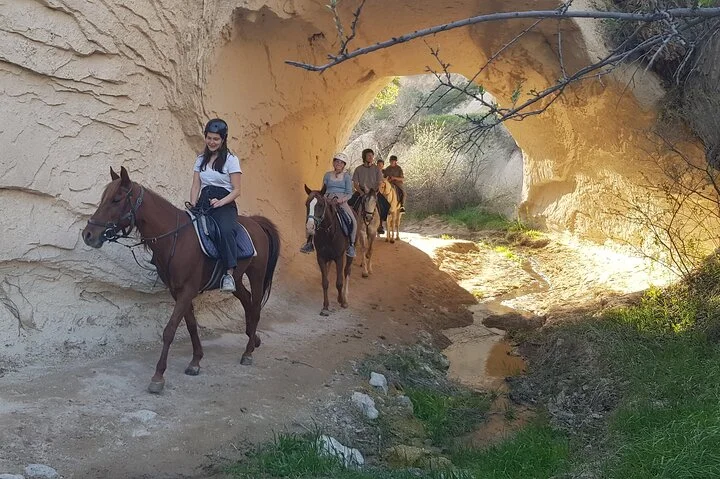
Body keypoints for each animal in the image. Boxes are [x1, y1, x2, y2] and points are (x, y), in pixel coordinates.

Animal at [82, 167, 280, 394]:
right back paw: (253, 339)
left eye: (116, 199)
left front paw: (158, 376)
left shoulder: (187, 290)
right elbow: (191, 325)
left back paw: (247, 353)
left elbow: (169, 330)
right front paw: (196, 361)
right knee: (247, 301)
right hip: (235, 279)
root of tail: (256, 222)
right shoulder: (178, 291)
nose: (88, 234)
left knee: (255, 307)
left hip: (256, 274)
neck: (176, 238)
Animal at [304, 184, 353, 316]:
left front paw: (341, 300)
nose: (310, 227)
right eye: (307, 204)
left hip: (349, 254)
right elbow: (325, 282)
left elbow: (339, 282)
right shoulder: (321, 257)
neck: (328, 232)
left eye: (320, 205)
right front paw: (325, 306)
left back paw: (346, 298)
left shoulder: (339, 257)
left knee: (347, 271)